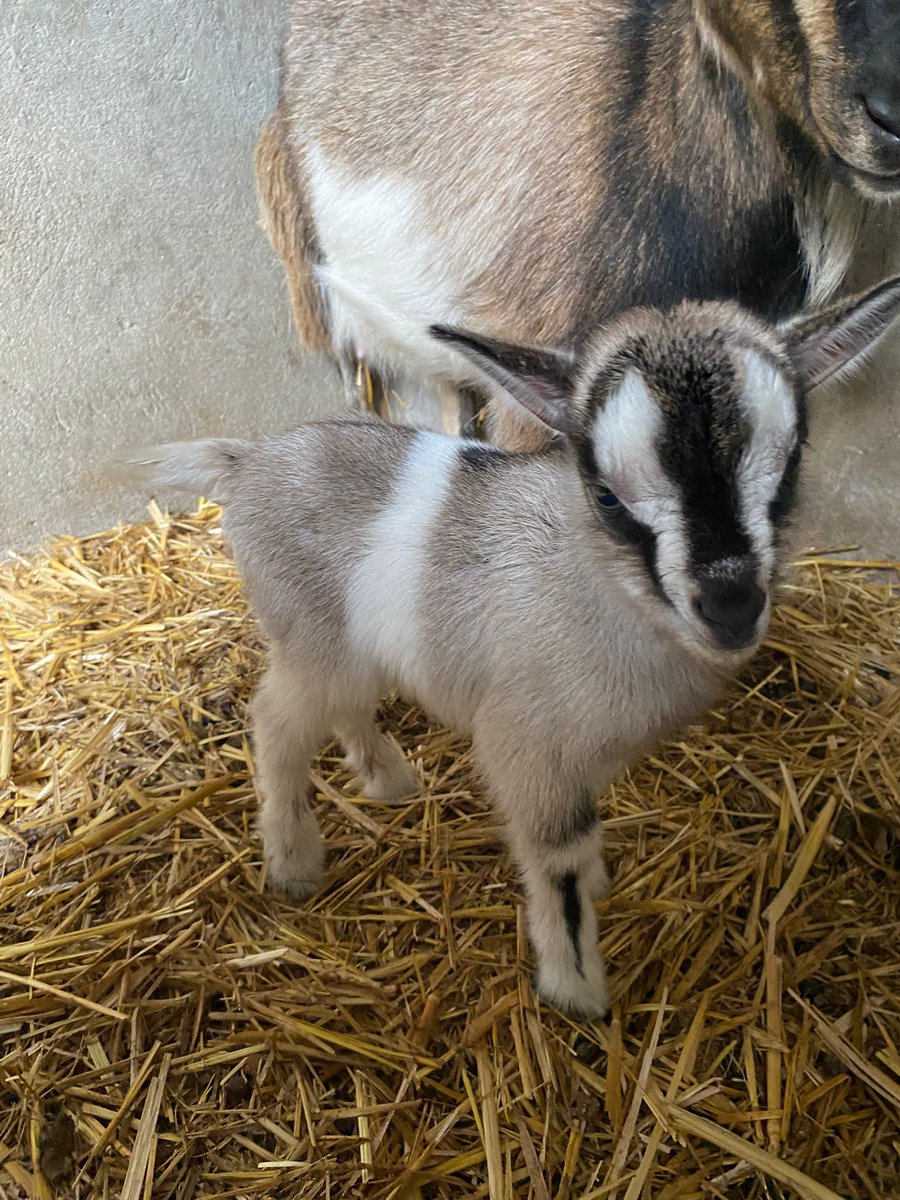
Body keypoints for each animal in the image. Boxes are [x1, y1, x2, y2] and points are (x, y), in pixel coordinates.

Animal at [124, 276, 900, 1017]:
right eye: (605, 494)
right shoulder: (531, 752)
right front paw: (576, 991)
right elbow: (559, 861)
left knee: (343, 708)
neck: (599, 588)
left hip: (345, 647)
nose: (731, 604)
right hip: (308, 638)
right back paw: (293, 863)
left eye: (792, 464)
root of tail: (249, 462)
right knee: (278, 725)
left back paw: (387, 779)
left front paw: (600, 887)